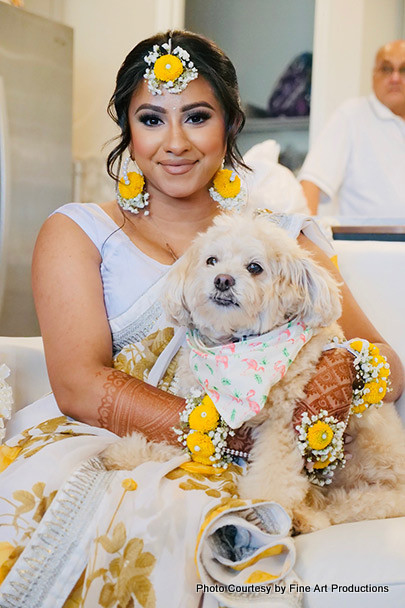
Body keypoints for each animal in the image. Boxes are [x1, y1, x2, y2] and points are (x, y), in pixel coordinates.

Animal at [102, 213, 405, 532]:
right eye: (211, 260)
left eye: (255, 267)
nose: (223, 280)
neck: (236, 346)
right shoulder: (206, 417)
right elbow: (181, 446)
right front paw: (134, 453)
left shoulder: (284, 425)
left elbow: (274, 476)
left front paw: (269, 506)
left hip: (376, 492)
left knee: (346, 507)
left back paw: (305, 518)